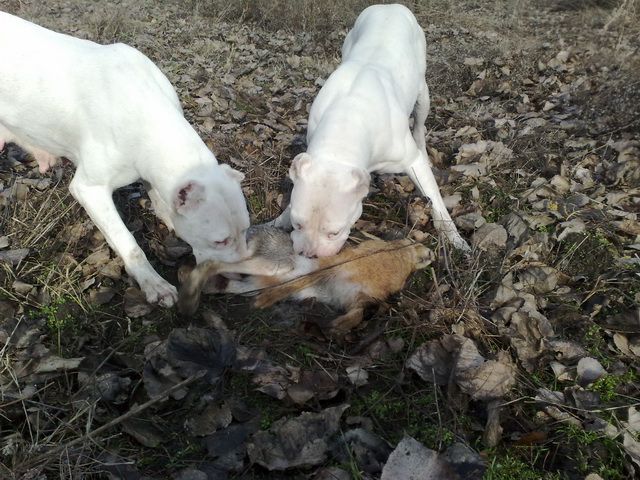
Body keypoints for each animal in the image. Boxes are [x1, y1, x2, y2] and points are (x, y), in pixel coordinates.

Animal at [276, 4, 470, 258]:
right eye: (298, 224)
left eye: (335, 232)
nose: (310, 255)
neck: (346, 122)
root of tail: (390, 6)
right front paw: (281, 218)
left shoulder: (411, 162)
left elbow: (436, 201)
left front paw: (454, 238)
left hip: (422, 93)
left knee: (419, 125)